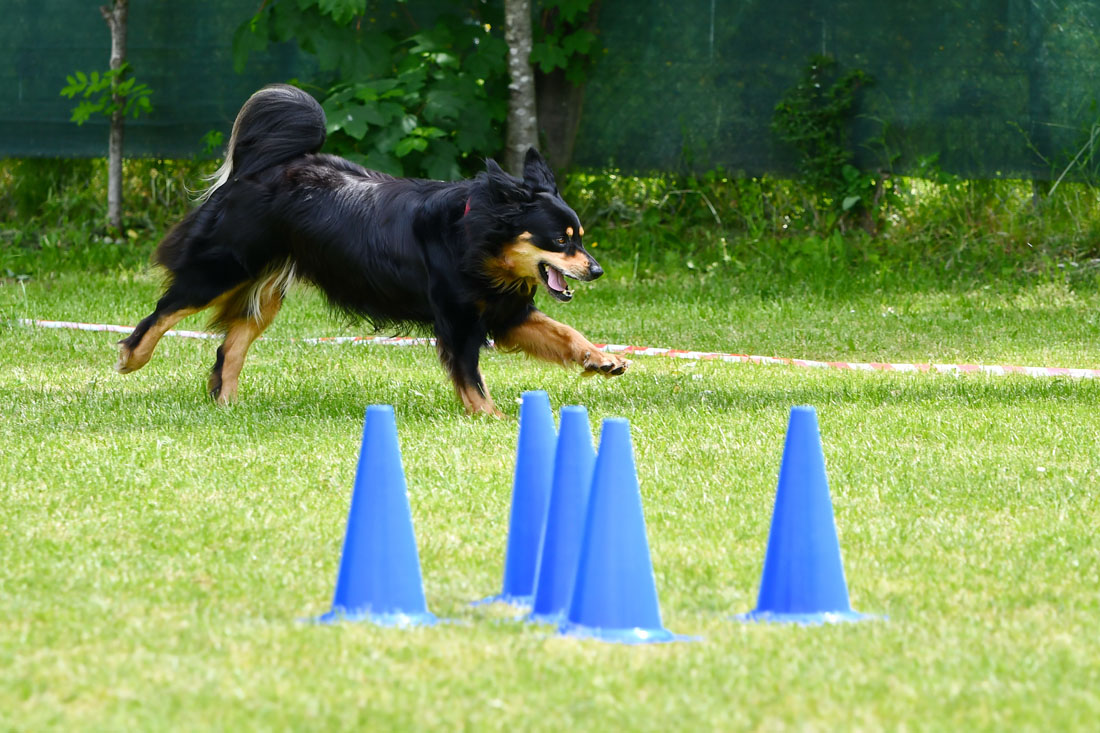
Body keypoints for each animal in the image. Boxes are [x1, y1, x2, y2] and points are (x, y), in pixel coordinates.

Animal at [119, 83, 629, 413]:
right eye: (560, 240)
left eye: (580, 237)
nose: (597, 271)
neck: (476, 237)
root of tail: (258, 168)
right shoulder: (460, 322)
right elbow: (472, 378)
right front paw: (492, 419)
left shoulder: (506, 315)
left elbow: (564, 332)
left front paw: (601, 358)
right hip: (223, 269)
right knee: (164, 311)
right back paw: (132, 356)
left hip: (267, 290)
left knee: (231, 347)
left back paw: (226, 407)